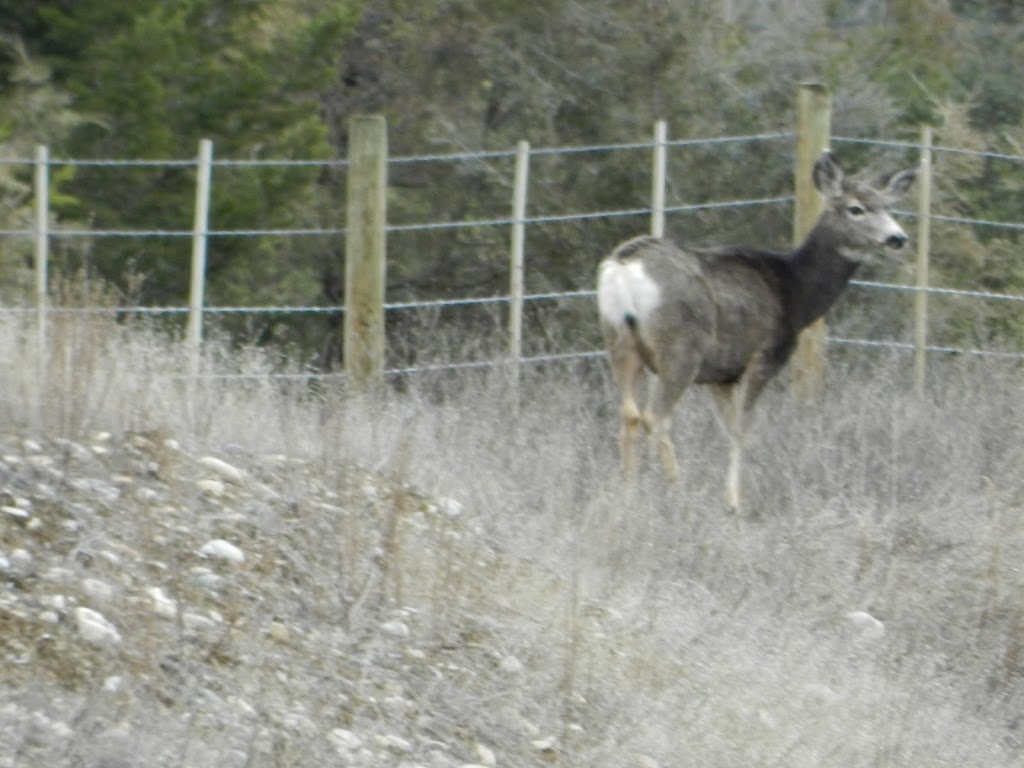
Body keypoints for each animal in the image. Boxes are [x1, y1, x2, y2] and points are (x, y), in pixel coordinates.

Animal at [598, 149, 917, 512]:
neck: (794, 292)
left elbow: (728, 429)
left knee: (630, 415)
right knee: (656, 417)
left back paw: (629, 497)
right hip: (681, 348)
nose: (897, 238)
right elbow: (742, 430)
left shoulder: (721, 374)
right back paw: (678, 496)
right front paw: (735, 501)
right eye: (856, 208)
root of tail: (625, 266)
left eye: (888, 207)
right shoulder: (763, 356)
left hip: (620, 341)